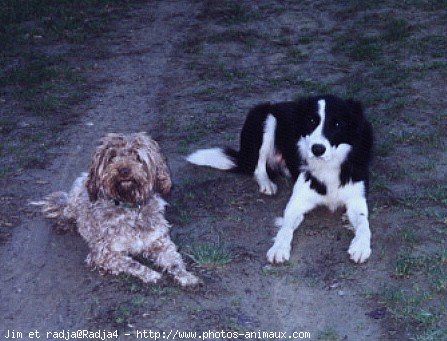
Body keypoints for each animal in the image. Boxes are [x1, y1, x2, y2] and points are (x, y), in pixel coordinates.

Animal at [186, 95, 374, 262]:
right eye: (311, 121)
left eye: (337, 124)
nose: (317, 149)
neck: (327, 165)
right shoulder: (297, 201)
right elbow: (285, 227)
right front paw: (278, 248)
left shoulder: (356, 199)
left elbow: (364, 224)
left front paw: (361, 245)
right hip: (265, 118)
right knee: (258, 166)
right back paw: (267, 183)